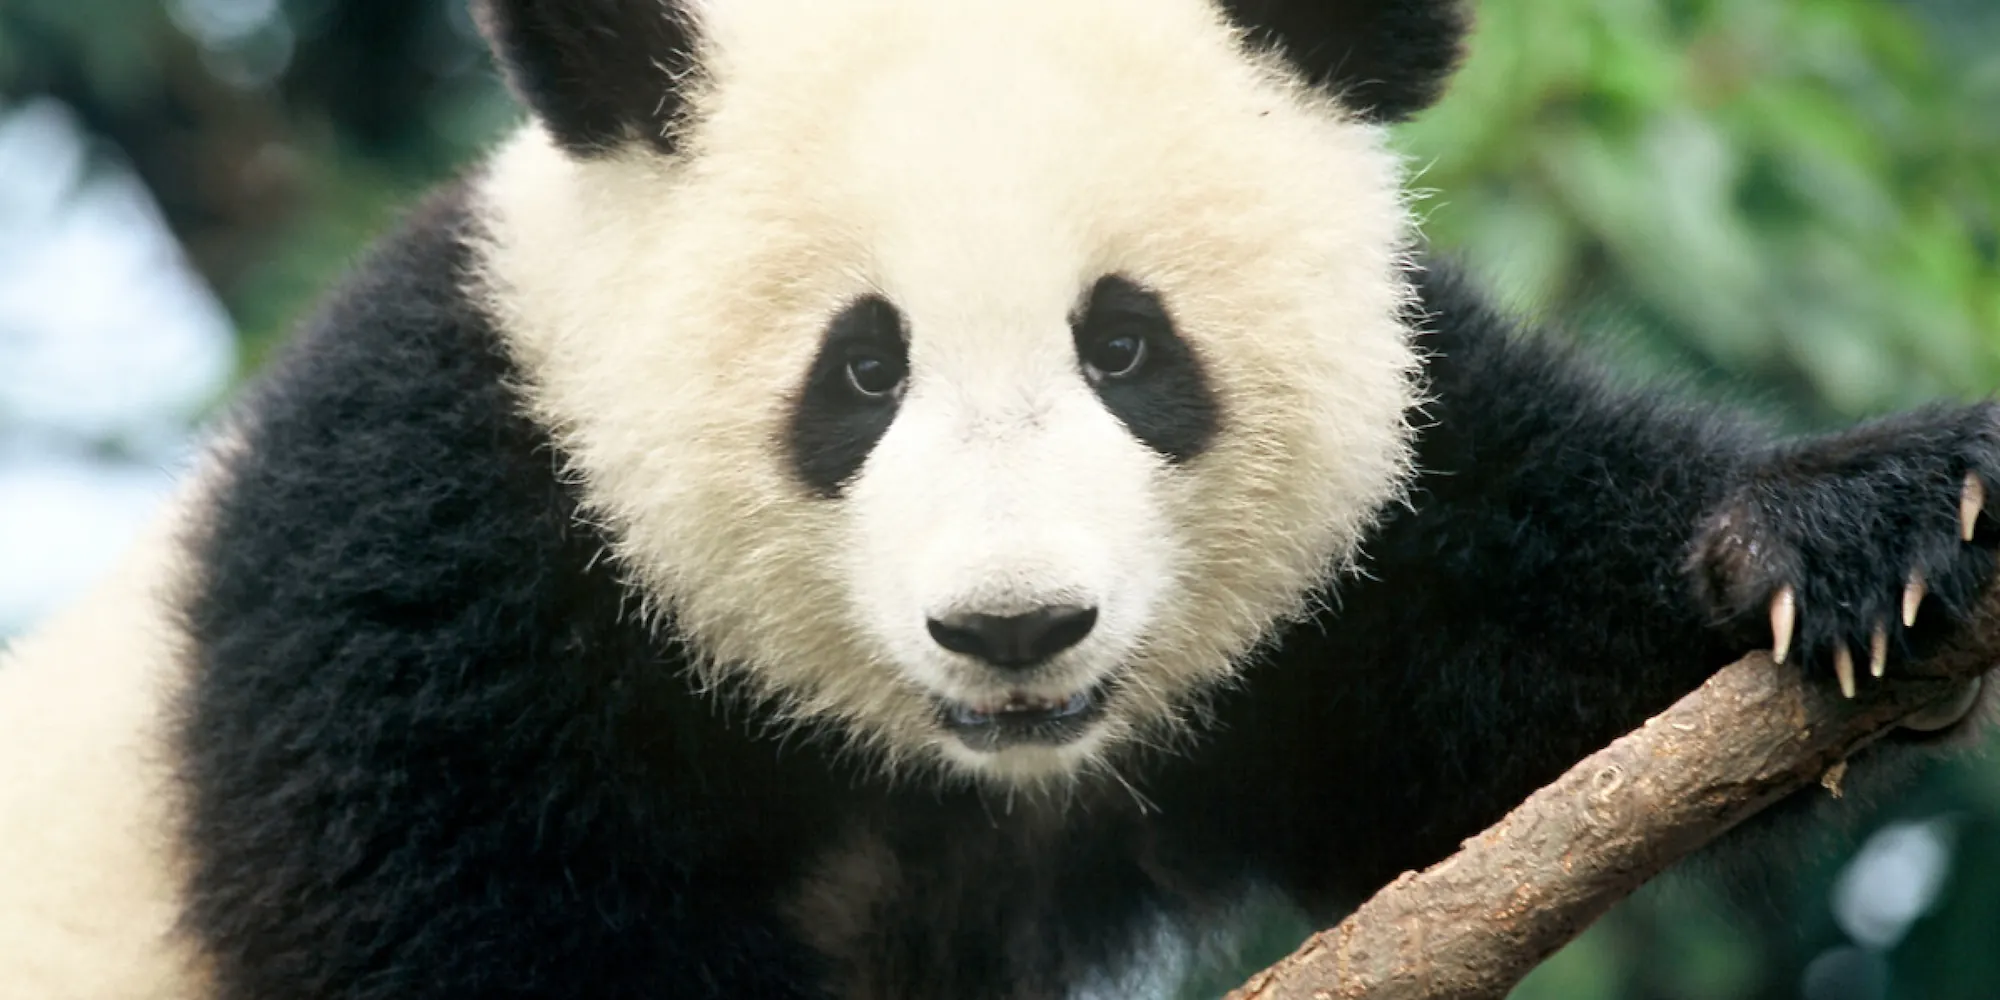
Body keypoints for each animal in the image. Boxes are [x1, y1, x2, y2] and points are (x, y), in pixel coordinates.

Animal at [2, 0, 1996, 997]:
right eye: (859, 372)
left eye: (1128, 346)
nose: (1016, 627)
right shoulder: (434, 544)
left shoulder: (1376, 544)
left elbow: (1487, 689)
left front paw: (1866, 535)